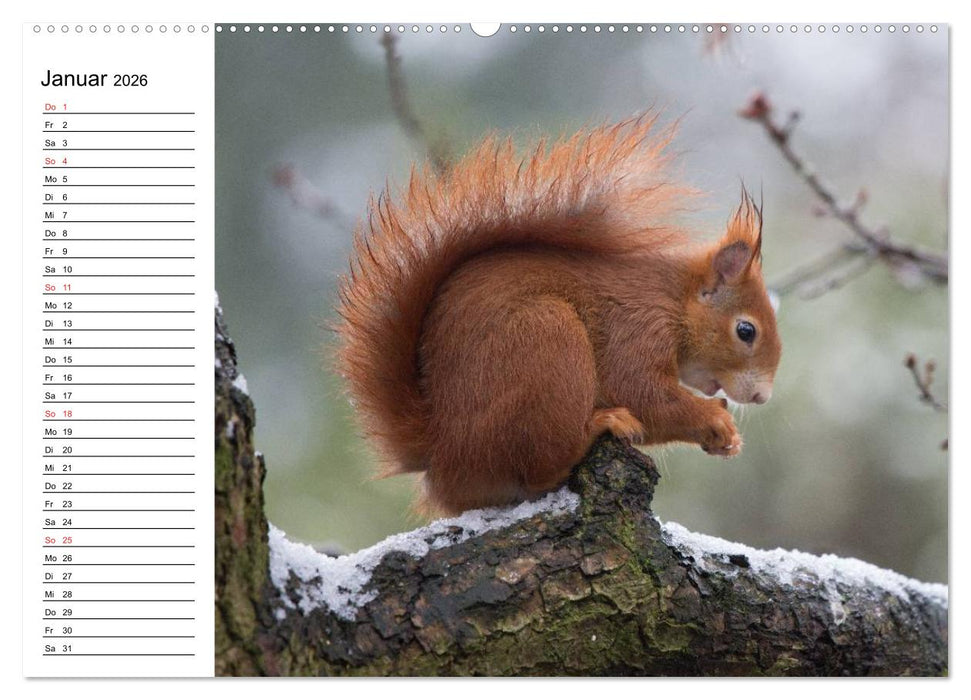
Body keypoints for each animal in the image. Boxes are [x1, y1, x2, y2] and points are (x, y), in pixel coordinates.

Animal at [335, 114, 782, 515]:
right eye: (746, 330)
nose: (761, 397)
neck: (672, 300)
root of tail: (441, 455)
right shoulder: (637, 326)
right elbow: (641, 392)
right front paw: (715, 420)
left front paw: (725, 439)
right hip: (548, 342)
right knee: (541, 470)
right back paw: (597, 427)